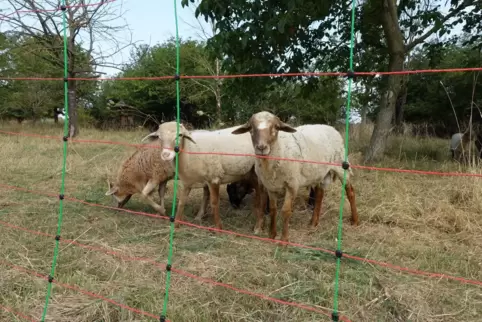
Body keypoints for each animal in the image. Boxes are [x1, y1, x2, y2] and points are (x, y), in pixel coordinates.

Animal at [230, 110, 358, 242]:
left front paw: (284, 240)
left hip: (341, 166)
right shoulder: (270, 185)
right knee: (319, 195)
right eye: (251, 128)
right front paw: (272, 235)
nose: (261, 148)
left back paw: (355, 221)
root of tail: (330, 128)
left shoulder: (292, 184)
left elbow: (286, 211)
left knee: (350, 192)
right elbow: (273, 209)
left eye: (276, 127)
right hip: (320, 173)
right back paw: (313, 222)